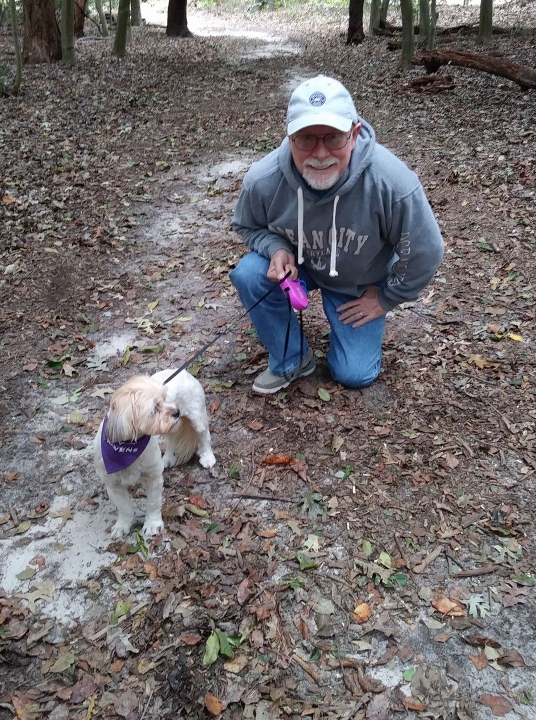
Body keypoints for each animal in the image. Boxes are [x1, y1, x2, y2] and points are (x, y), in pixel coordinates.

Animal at [94, 372, 216, 540]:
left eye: (165, 399)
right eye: (154, 409)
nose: (176, 412)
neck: (126, 449)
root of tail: (183, 371)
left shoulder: (153, 478)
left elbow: (153, 503)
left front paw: (152, 524)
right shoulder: (113, 485)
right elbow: (124, 508)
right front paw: (122, 525)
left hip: (196, 417)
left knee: (204, 436)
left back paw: (207, 457)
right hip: (170, 427)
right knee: (171, 439)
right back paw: (167, 459)